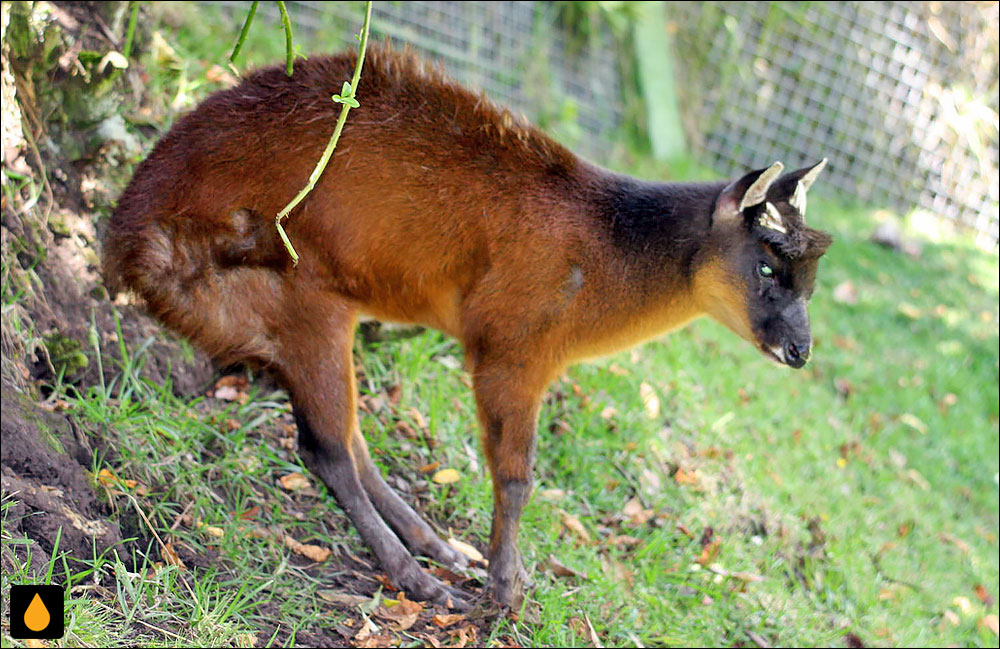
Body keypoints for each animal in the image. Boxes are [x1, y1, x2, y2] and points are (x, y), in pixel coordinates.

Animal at [103, 45, 836, 608]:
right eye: (767, 265)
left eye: (810, 277)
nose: (800, 350)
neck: (608, 248)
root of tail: (125, 247)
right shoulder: (511, 351)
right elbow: (514, 477)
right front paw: (506, 589)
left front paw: (493, 571)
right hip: (289, 295)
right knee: (326, 447)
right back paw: (418, 579)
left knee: (347, 435)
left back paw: (435, 546)